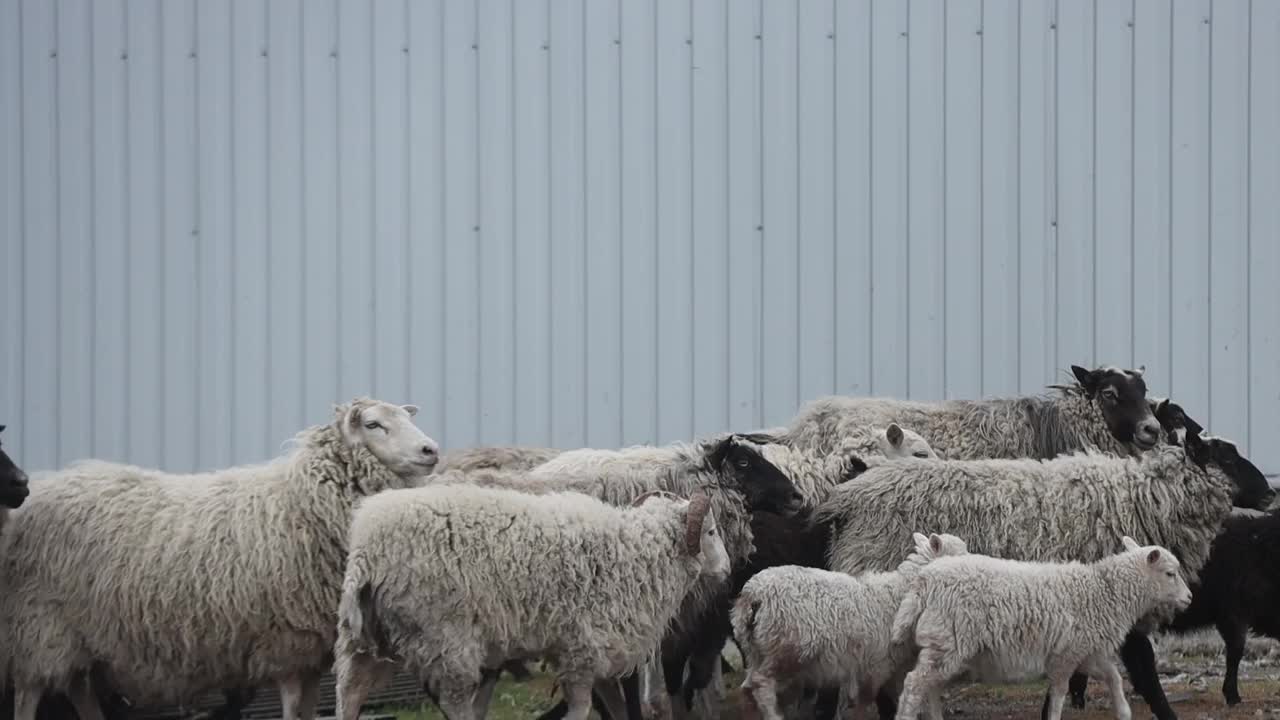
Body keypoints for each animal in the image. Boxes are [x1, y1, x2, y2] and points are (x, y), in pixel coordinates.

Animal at [0, 397, 440, 717]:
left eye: (406, 417)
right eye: (373, 425)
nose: (430, 449)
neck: (302, 502)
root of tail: (40, 489)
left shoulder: (309, 649)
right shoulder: (284, 642)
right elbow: (293, 706)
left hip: (77, 634)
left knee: (78, 688)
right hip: (37, 623)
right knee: (29, 692)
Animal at [332, 479, 732, 717]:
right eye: (711, 531)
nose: (728, 569)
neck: (636, 553)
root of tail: (367, 549)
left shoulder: (595, 653)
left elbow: (615, 706)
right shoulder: (581, 650)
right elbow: (581, 709)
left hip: (367, 637)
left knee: (349, 692)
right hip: (447, 638)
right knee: (454, 702)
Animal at [732, 530, 967, 712]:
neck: (897, 595)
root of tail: (754, 595)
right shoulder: (875, 665)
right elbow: (864, 703)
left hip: (755, 651)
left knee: (746, 690)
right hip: (785, 650)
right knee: (761, 685)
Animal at [885, 535, 1192, 717]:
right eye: (1170, 573)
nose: (1189, 598)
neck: (1103, 589)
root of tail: (924, 581)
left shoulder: (1084, 652)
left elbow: (1113, 676)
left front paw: (1124, 711)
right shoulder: (1065, 656)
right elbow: (1058, 695)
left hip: (944, 646)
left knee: (930, 687)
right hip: (948, 642)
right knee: (914, 685)